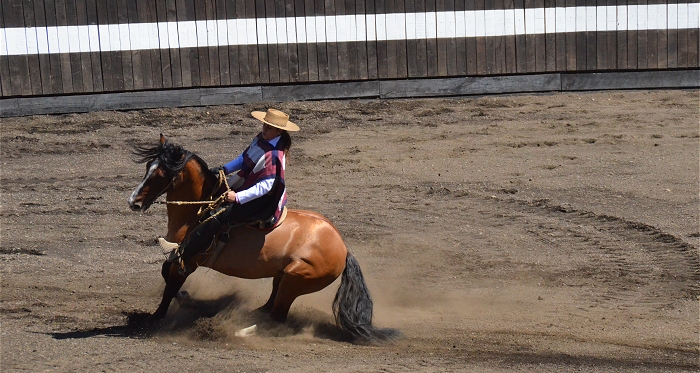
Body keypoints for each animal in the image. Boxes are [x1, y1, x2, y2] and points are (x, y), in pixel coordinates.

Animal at [126, 135, 400, 342]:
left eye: (162, 173)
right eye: (147, 167)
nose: (133, 202)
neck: (198, 211)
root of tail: (343, 249)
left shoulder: (188, 261)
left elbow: (170, 286)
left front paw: (153, 318)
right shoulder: (178, 256)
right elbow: (166, 275)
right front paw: (187, 299)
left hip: (295, 279)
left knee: (277, 317)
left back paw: (239, 330)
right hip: (283, 276)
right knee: (269, 308)